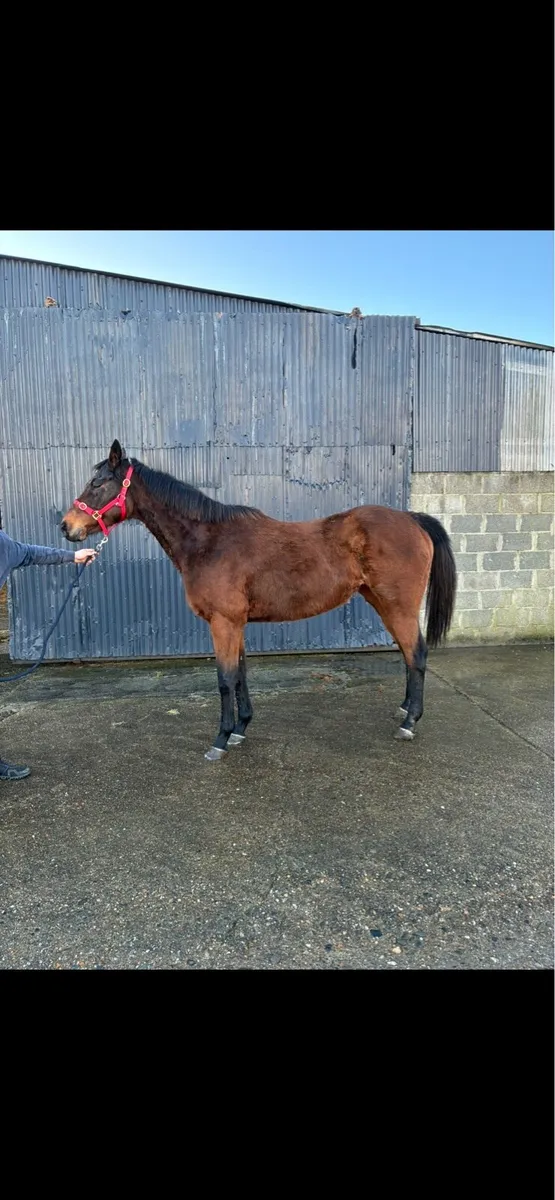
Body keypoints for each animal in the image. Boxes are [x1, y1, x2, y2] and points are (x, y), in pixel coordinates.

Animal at [61, 440, 457, 761]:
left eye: (98, 483)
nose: (66, 526)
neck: (210, 541)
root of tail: (412, 519)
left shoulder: (223, 622)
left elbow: (225, 678)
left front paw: (220, 740)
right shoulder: (235, 623)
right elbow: (240, 674)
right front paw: (240, 729)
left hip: (398, 606)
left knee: (417, 654)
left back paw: (409, 722)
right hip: (382, 603)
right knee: (408, 655)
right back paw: (404, 709)